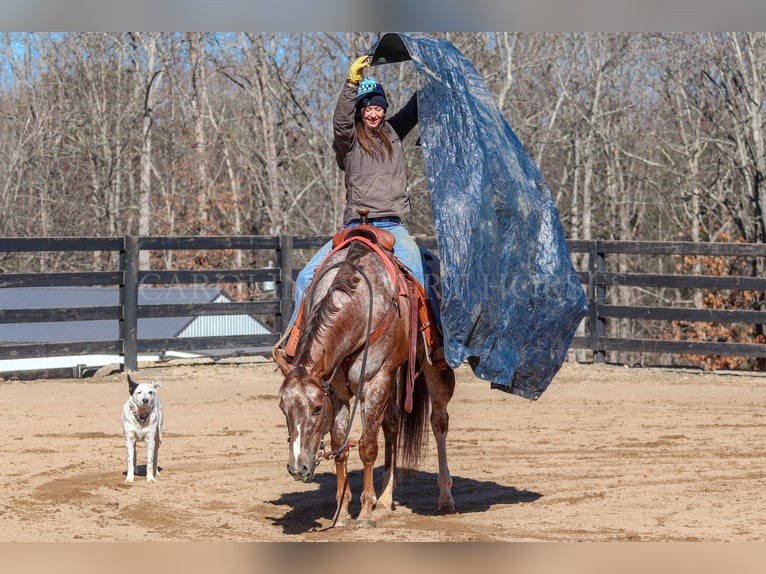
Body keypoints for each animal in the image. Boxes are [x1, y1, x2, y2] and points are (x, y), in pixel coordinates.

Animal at [272, 224, 456, 528]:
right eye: (282, 408)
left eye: (317, 408)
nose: (297, 467)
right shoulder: (337, 388)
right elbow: (340, 445)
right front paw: (342, 511)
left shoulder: (374, 380)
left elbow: (367, 446)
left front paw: (366, 511)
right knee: (392, 425)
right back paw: (386, 497)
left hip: (431, 369)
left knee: (439, 421)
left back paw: (444, 498)